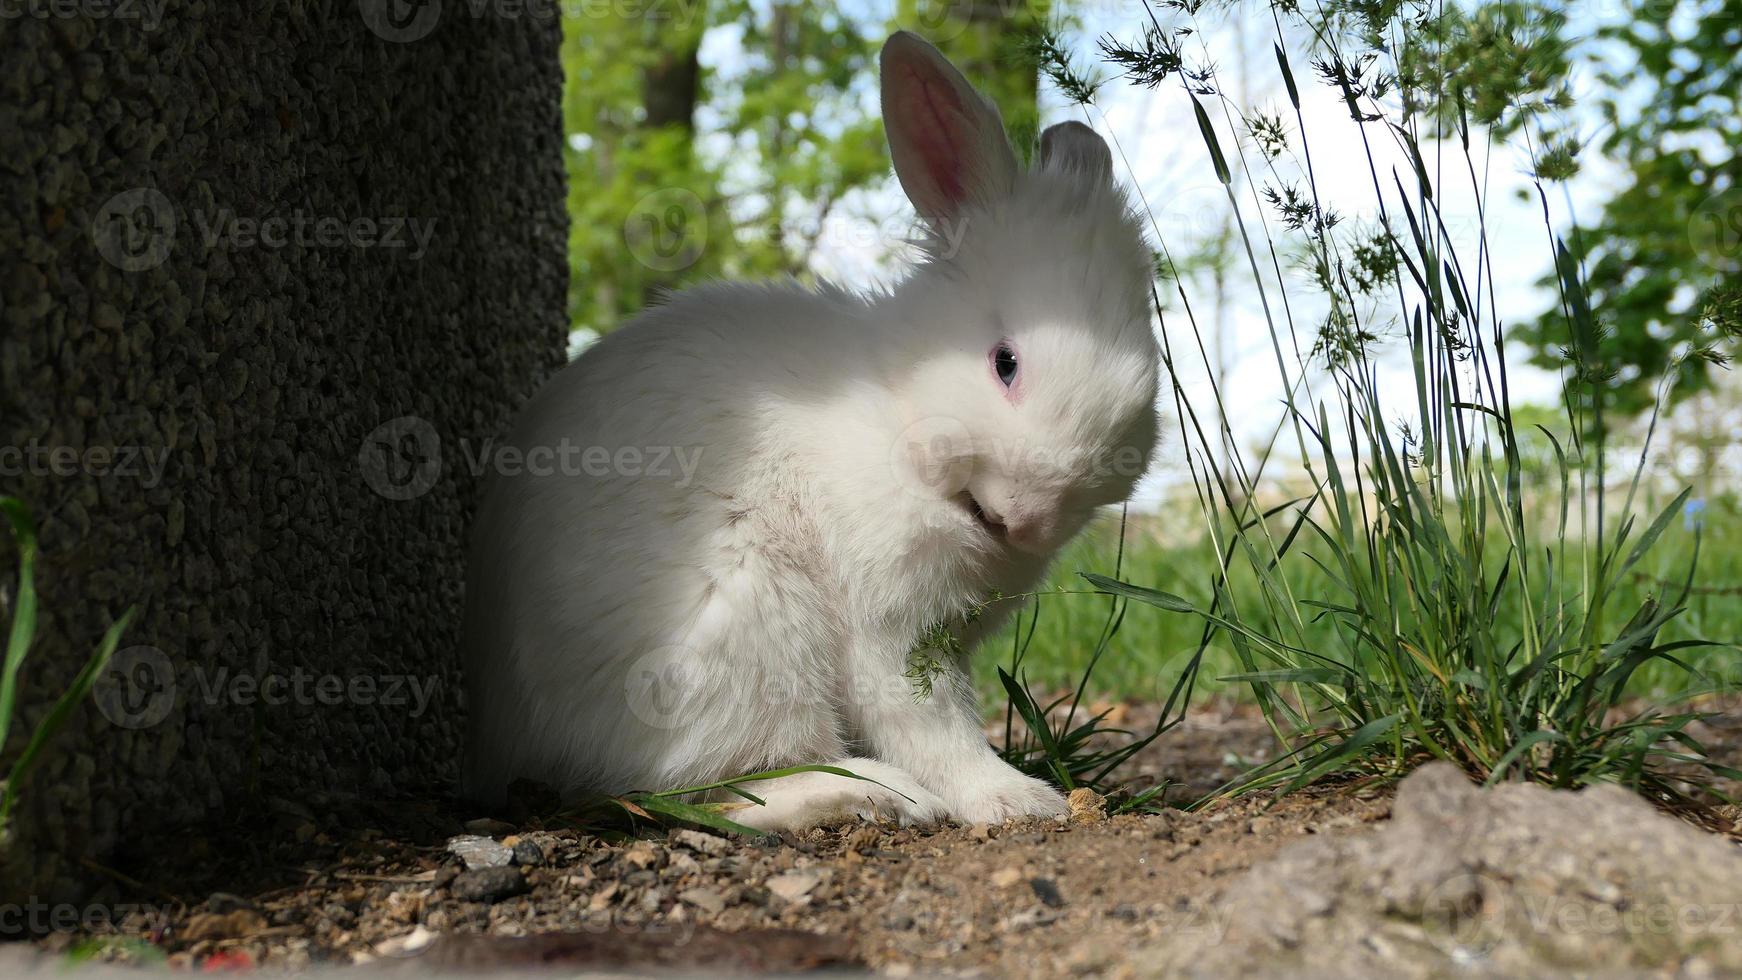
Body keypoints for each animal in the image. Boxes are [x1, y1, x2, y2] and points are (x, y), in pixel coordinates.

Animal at [463, 28, 1163, 828]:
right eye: (1005, 363)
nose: (1033, 519)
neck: (901, 420)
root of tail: (495, 747)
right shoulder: (889, 625)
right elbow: (927, 723)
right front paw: (1018, 801)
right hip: (747, 634)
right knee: (710, 789)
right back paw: (869, 795)